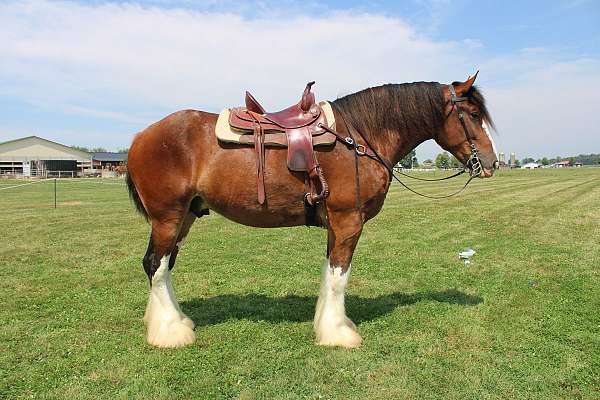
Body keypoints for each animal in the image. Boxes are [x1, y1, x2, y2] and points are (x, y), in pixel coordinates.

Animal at [126, 73, 496, 348]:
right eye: (474, 115)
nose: (491, 163)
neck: (360, 137)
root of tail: (140, 136)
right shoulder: (349, 221)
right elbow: (339, 277)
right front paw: (338, 334)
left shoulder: (337, 225)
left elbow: (329, 275)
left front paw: (327, 324)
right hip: (167, 217)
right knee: (155, 266)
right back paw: (171, 331)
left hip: (184, 217)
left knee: (161, 267)